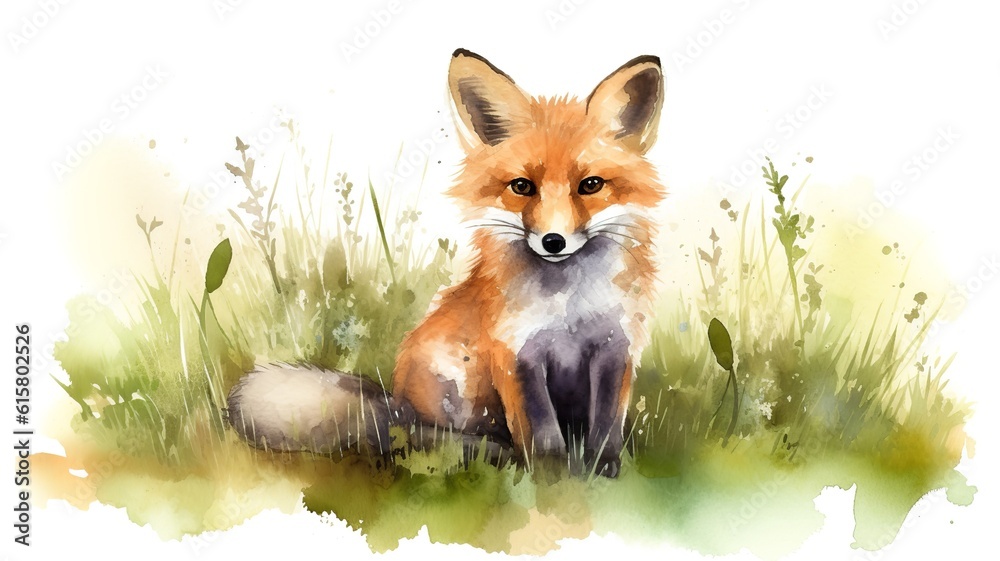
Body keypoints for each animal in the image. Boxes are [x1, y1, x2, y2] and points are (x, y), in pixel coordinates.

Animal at [227, 48, 665, 477]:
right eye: (522, 186)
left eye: (590, 185)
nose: (553, 241)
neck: (569, 304)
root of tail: (394, 406)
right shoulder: (516, 351)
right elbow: (539, 428)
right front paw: (551, 477)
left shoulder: (616, 347)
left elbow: (606, 423)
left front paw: (601, 467)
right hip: (459, 384)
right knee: (427, 441)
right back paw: (491, 454)